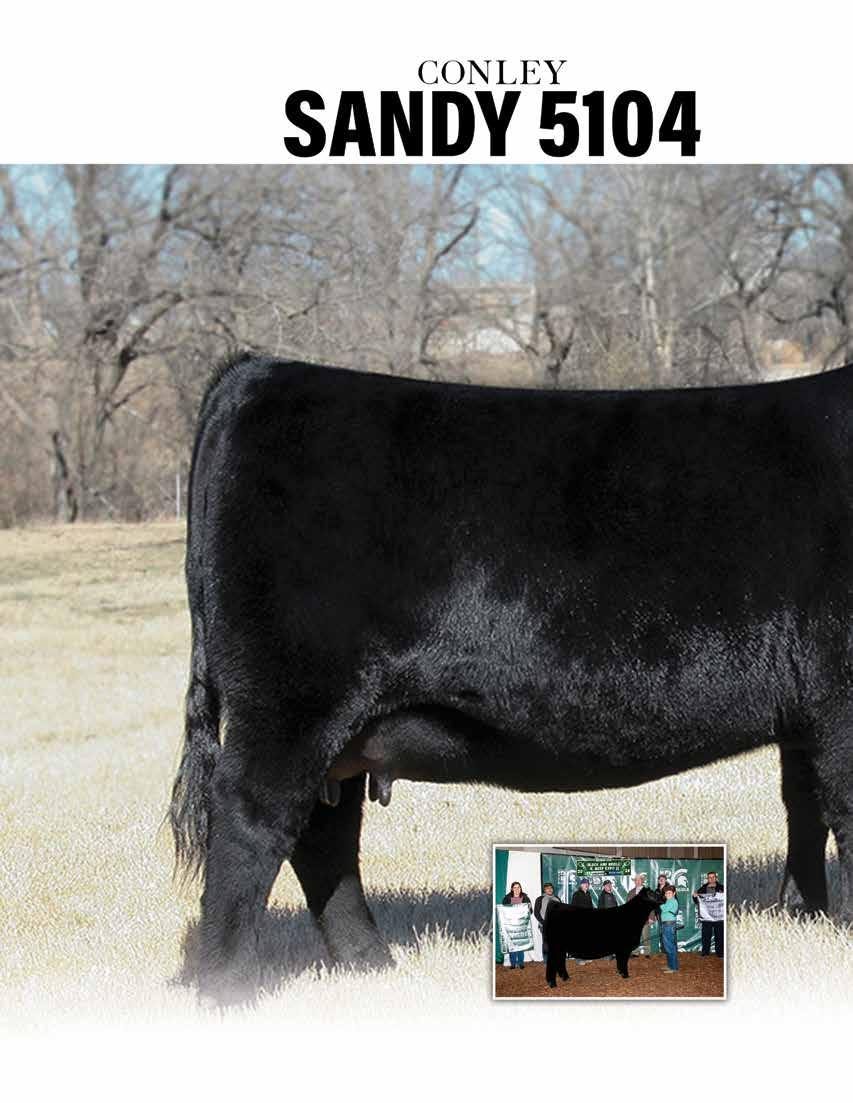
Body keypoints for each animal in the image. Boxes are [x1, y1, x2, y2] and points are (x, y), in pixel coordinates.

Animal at [170, 353, 853, 1003]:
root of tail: (257, 372)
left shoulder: (807, 709)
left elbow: (806, 803)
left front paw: (807, 912)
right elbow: (842, 808)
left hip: (336, 733)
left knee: (323, 835)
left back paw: (370, 964)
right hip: (292, 705)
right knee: (252, 821)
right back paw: (226, 986)